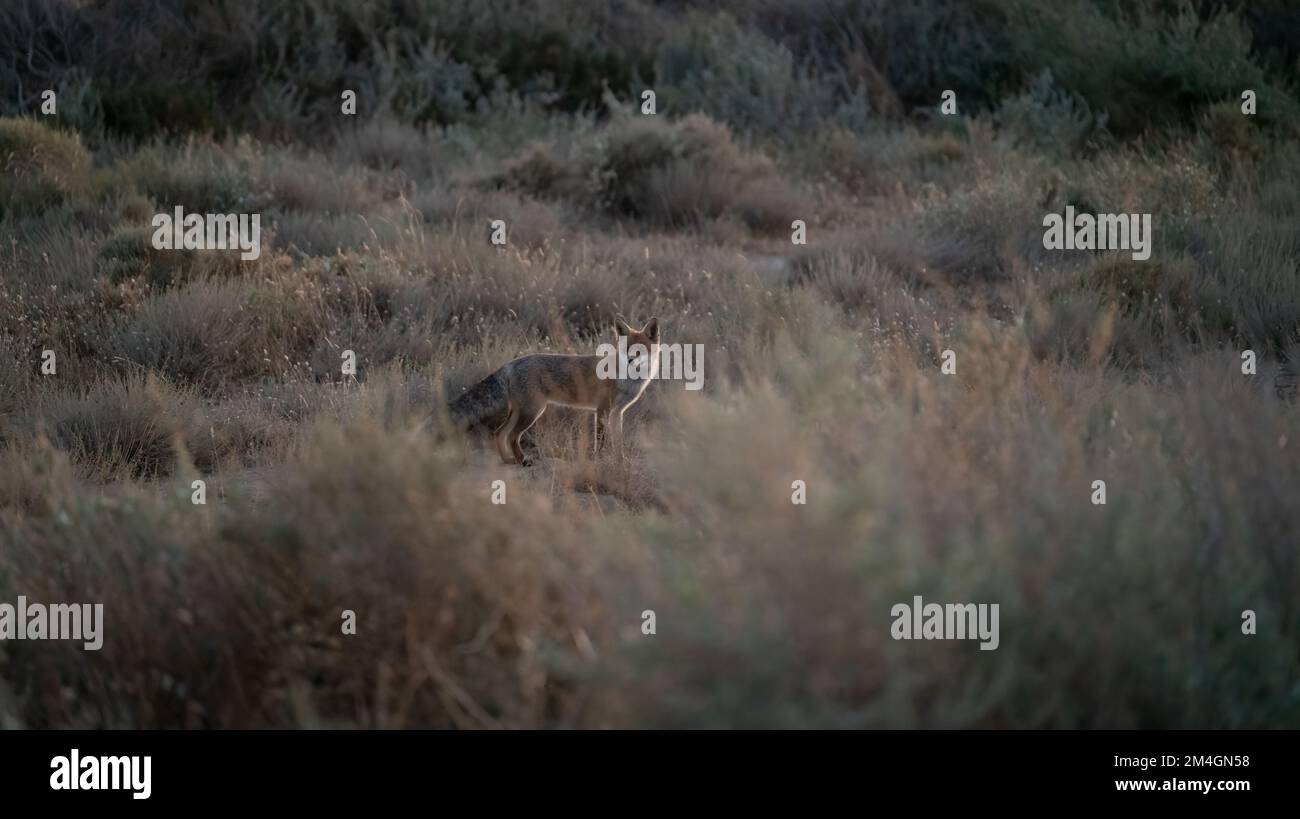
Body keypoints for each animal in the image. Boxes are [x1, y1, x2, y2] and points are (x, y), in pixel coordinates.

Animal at [448, 317, 661, 466]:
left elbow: (618, 443)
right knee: (511, 436)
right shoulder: (602, 410)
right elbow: (600, 441)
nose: (631, 360)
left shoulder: (617, 413)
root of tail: (511, 363)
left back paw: (508, 460)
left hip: (520, 411)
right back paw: (522, 460)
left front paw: (620, 462)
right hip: (532, 412)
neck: (628, 379)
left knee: (499, 433)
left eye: (640, 350)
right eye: (627, 349)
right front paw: (600, 460)